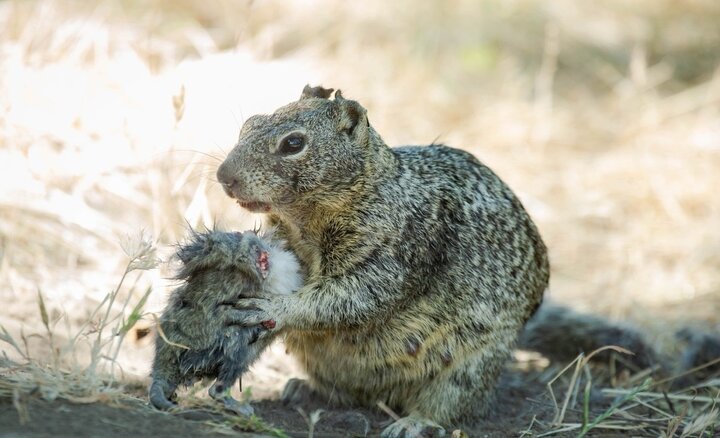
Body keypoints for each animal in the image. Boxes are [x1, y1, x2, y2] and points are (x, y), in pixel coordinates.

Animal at [217, 84, 548, 434]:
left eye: (293, 143)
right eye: (249, 124)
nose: (223, 176)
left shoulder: (392, 258)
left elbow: (347, 299)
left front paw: (273, 308)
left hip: (468, 368)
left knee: (449, 406)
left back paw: (414, 423)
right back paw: (304, 390)